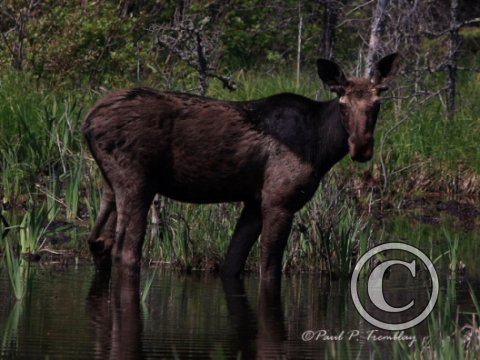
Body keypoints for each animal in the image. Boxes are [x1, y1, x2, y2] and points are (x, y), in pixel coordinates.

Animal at [82, 53, 398, 280]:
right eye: (343, 103)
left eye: (377, 103)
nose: (360, 147)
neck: (322, 148)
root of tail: (87, 122)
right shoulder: (278, 200)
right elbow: (269, 270)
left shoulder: (254, 202)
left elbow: (232, 263)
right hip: (137, 181)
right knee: (126, 250)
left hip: (110, 183)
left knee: (98, 240)